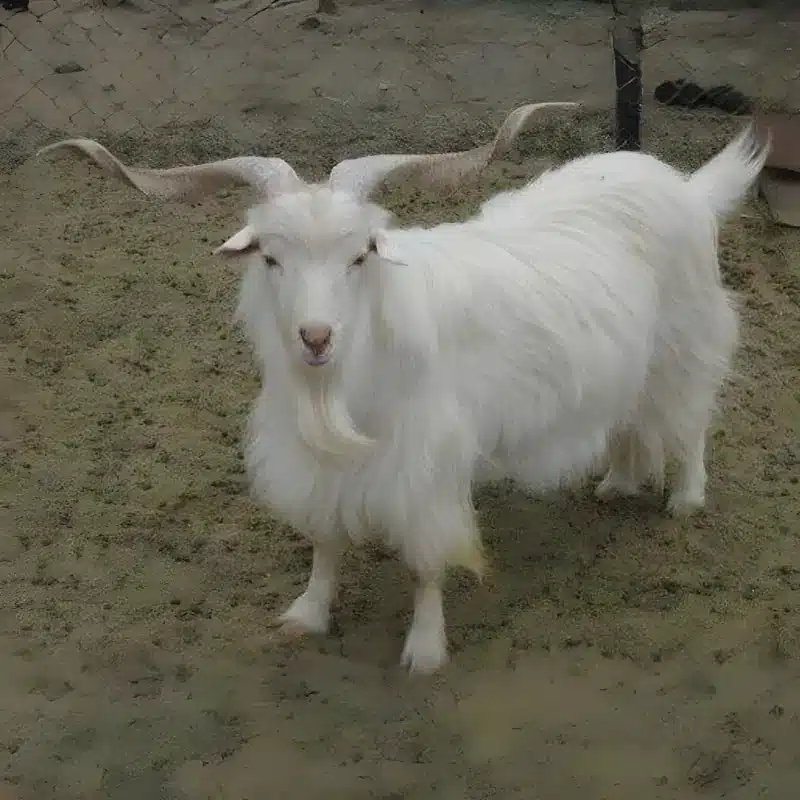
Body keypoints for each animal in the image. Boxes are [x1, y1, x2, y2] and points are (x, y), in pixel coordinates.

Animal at [38, 104, 768, 674]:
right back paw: (617, 483)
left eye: (362, 253)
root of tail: (689, 189)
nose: (315, 337)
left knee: (691, 419)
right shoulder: (320, 463)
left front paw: (424, 650)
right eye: (270, 257)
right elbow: (325, 541)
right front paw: (307, 614)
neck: (342, 385)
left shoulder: (426, 466)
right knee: (631, 422)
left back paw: (685, 498)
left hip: (685, 340)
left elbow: (425, 562)